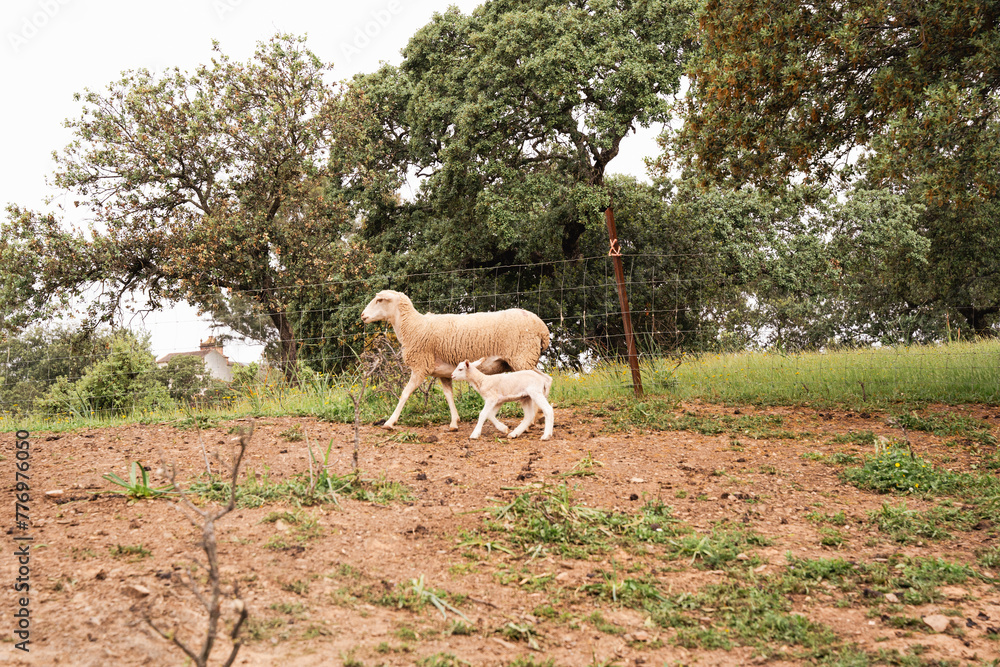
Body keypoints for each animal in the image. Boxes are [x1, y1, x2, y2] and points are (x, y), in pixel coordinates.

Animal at [360, 290, 552, 430]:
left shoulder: (420, 366)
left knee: (541, 380)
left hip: (522, 357)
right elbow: (449, 396)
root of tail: (542, 328)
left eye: (379, 300)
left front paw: (390, 422)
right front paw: (454, 422)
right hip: (524, 359)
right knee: (547, 379)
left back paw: (535, 417)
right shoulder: (444, 373)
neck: (412, 327)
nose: (362, 316)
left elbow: (405, 394)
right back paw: (538, 415)